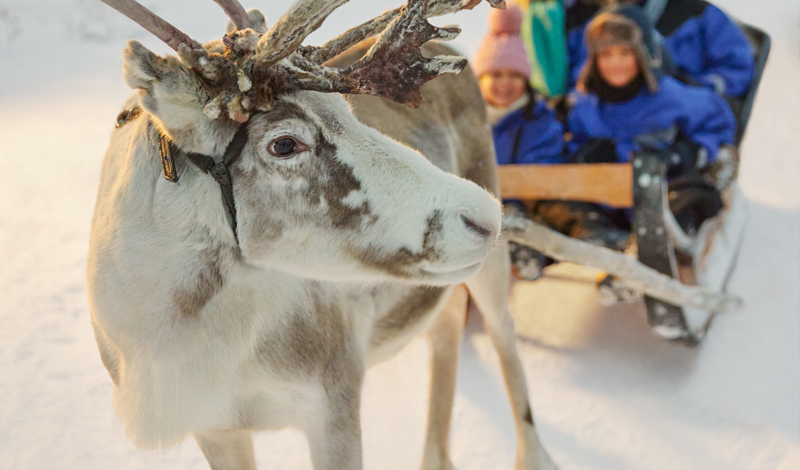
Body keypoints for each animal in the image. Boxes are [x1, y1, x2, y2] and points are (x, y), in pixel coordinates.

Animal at [87, 0, 558, 469]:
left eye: (349, 111)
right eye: (284, 143)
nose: (483, 218)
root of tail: (452, 49)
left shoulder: (336, 396)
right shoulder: (215, 427)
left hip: (491, 257)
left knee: (503, 334)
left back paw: (535, 455)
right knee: (446, 324)